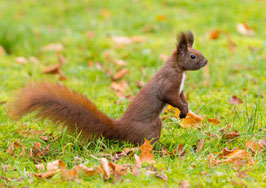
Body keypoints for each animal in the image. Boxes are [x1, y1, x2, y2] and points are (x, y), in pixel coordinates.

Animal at [7, 31, 208, 145]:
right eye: (192, 56)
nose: (206, 62)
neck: (179, 69)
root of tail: (120, 128)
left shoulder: (180, 89)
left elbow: (182, 98)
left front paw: (185, 109)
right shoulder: (168, 83)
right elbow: (170, 97)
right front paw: (182, 109)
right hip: (149, 128)